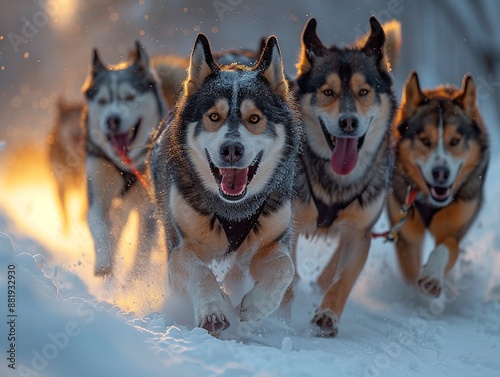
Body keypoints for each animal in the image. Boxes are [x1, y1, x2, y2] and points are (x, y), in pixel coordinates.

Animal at [150, 33, 302, 336]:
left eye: (254, 118)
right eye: (213, 116)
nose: (231, 149)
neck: (233, 211)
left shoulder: (273, 241)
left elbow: (285, 266)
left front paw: (256, 305)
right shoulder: (179, 247)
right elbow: (201, 272)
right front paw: (214, 309)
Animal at [292, 16, 402, 334]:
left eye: (363, 92)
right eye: (328, 92)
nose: (349, 122)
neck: (335, 184)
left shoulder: (360, 233)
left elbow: (344, 279)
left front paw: (327, 314)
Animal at [386, 72, 488, 296]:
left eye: (455, 141)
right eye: (425, 141)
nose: (441, 173)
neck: (430, 203)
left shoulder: (456, 224)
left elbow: (447, 246)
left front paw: (432, 275)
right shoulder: (407, 232)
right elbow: (410, 267)